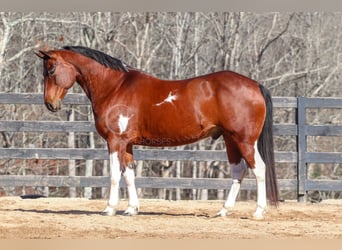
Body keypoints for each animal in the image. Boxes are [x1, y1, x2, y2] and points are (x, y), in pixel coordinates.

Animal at [36, 46, 280, 220]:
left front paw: (110, 208)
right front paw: (131, 209)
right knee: (238, 170)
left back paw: (258, 212)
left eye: (51, 70)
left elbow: (115, 175)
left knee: (259, 169)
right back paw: (223, 211)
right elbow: (129, 174)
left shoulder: (115, 141)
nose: (50, 104)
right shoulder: (127, 143)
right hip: (230, 140)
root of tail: (255, 85)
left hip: (244, 141)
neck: (115, 87)